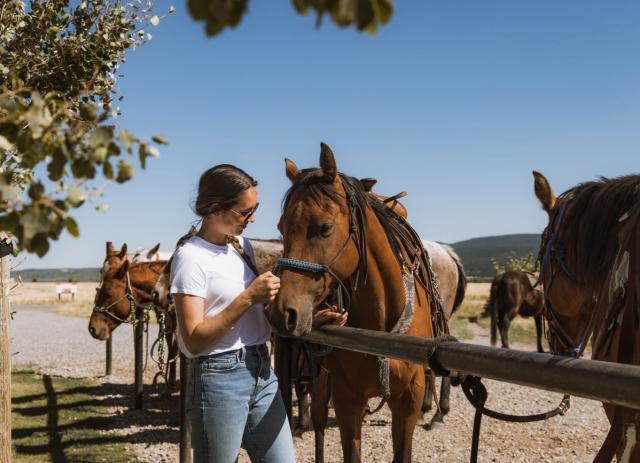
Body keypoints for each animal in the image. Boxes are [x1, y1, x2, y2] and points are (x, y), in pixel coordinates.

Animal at [268, 143, 448, 462]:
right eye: (281, 226)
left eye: (325, 227)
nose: (282, 312)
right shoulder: (346, 400)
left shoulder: (408, 402)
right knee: (317, 422)